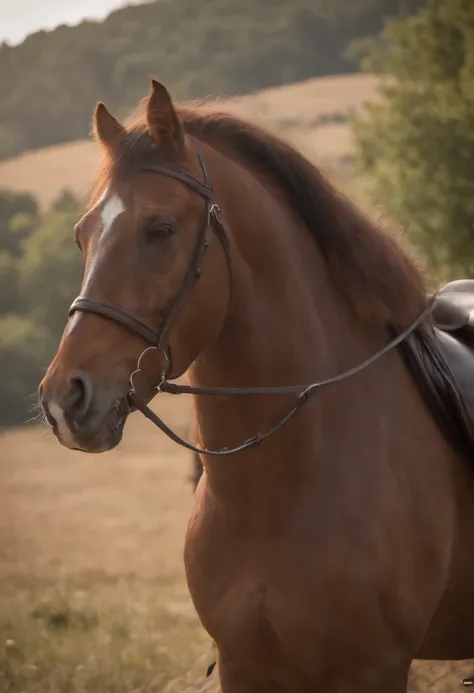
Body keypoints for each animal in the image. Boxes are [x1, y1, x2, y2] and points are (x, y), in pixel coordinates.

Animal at [39, 79, 474, 688]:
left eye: (161, 230)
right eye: (82, 237)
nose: (64, 400)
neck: (276, 498)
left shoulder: (374, 667)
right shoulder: (244, 665)